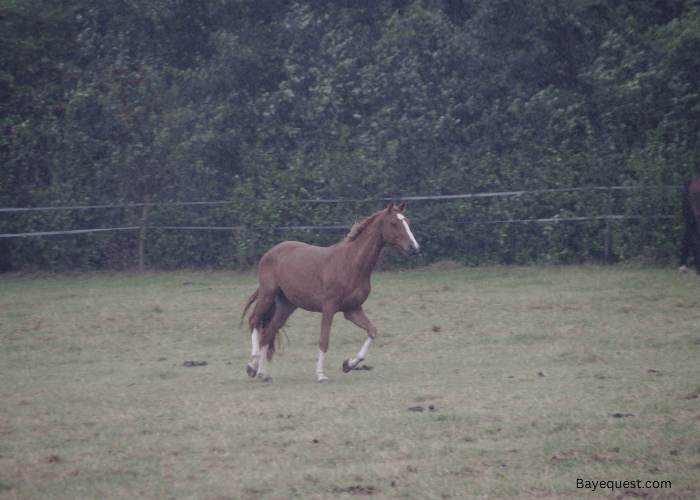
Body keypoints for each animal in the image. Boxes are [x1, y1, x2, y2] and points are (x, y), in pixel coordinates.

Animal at [241, 199, 418, 382]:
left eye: (408, 222)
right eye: (394, 223)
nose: (414, 248)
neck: (350, 263)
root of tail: (270, 252)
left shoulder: (352, 310)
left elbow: (372, 332)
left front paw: (348, 364)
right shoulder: (329, 308)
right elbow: (324, 341)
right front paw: (321, 375)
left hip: (286, 306)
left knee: (268, 332)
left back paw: (262, 373)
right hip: (268, 295)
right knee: (254, 321)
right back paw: (252, 365)